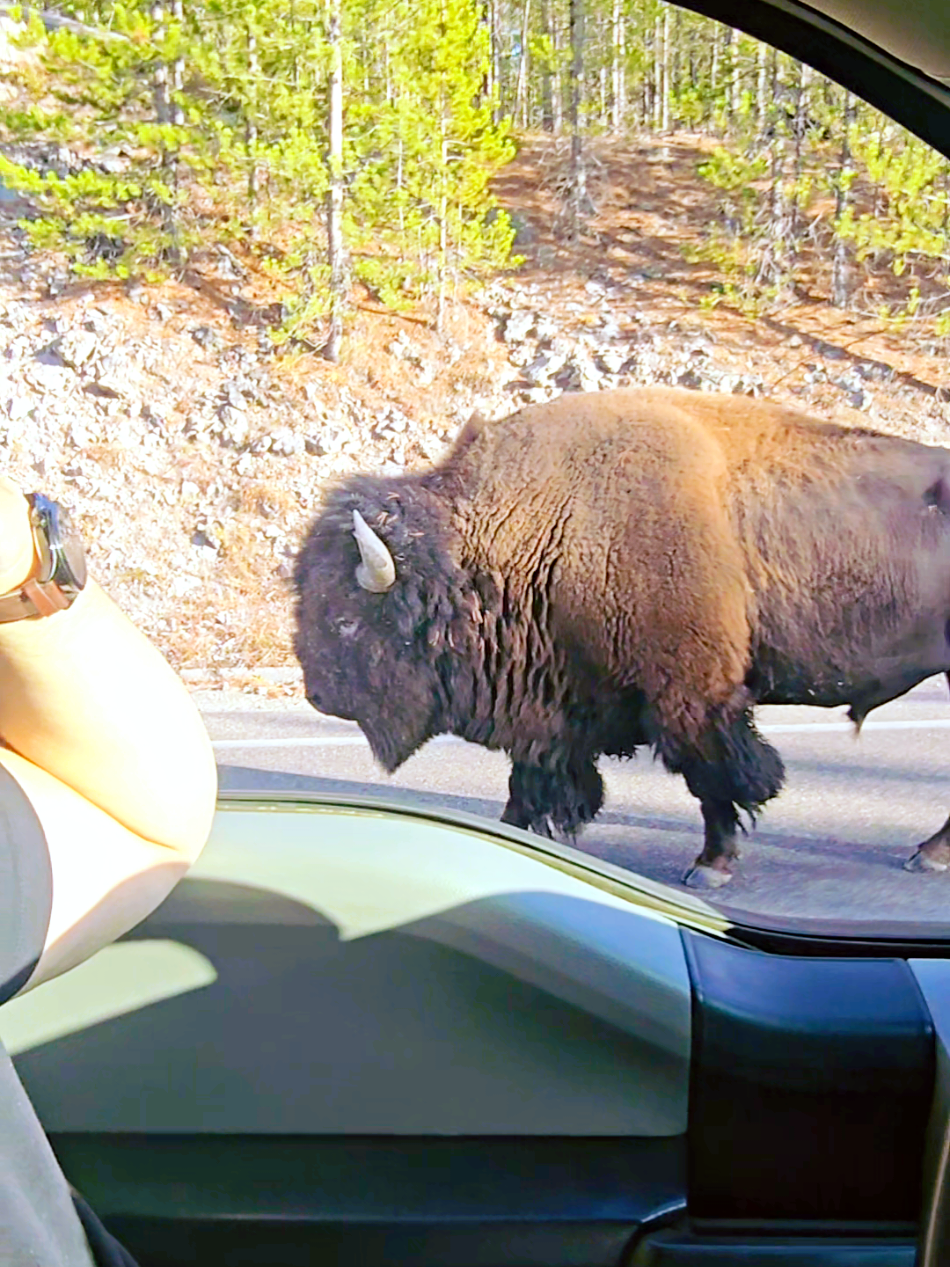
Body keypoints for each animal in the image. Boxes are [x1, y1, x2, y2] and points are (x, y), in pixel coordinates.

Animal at [293, 386, 950, 888]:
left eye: (346, 618)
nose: (318, 696)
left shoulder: (691, 697)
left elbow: (716, 780)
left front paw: (710, 867)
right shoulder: (553, 709)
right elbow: (531, 784)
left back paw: (925, 856)